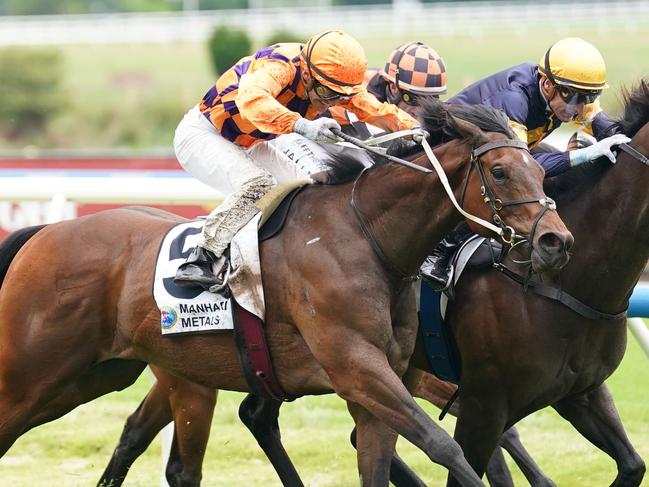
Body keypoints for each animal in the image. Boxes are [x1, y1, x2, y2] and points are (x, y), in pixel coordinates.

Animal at [0, 101, 568, 486]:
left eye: (541, 171)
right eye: (500, 171)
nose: (555, 241)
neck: (365, 237)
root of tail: (46, 232)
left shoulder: (380, 382)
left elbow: (381, 460)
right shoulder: (358, 368)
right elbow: (445, 446)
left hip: (97, 374)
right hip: (32, 375)